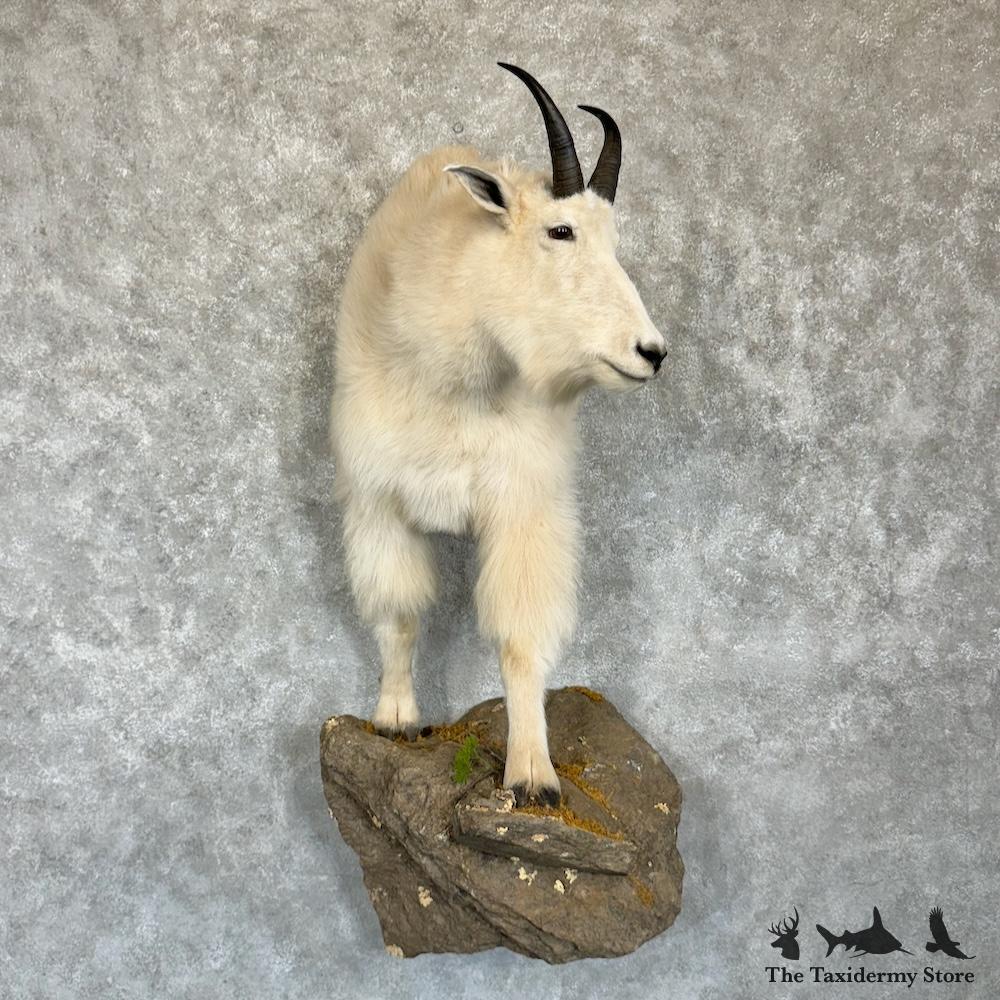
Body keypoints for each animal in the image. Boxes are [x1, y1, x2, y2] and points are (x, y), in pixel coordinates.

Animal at [329, 63, 666, 806]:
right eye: (561, 230)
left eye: (614, 241)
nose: (651, 352)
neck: (460, 380)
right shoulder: (379, 501)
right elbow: (399, 613)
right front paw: (395, 717)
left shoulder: (524, 507)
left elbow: (519, 642)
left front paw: (533, 776)